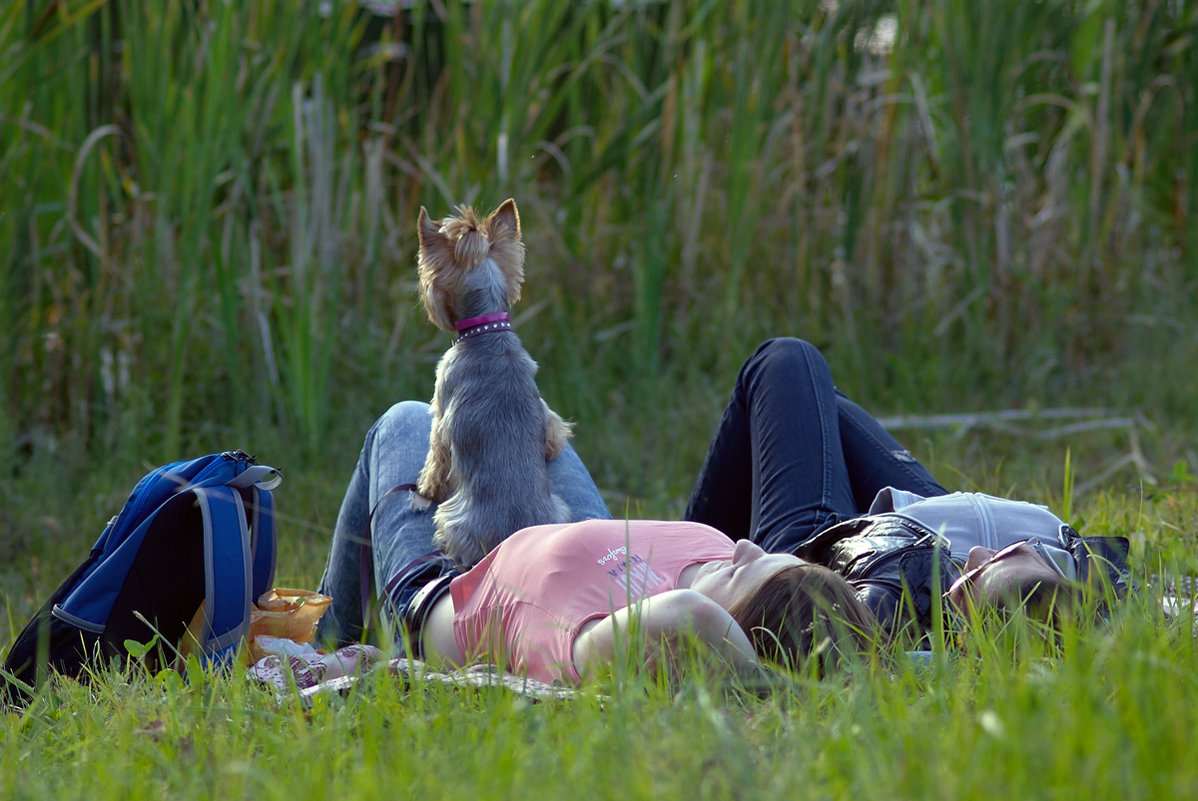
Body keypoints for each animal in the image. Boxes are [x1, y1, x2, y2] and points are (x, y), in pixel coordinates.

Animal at [414, 196, 572, 565]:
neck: (486, 329)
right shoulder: (547, 412)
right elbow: (554, 432)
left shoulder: (440, 411)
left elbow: (436, 456)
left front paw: (426, 487)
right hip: (559, 509)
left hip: (453, 520)